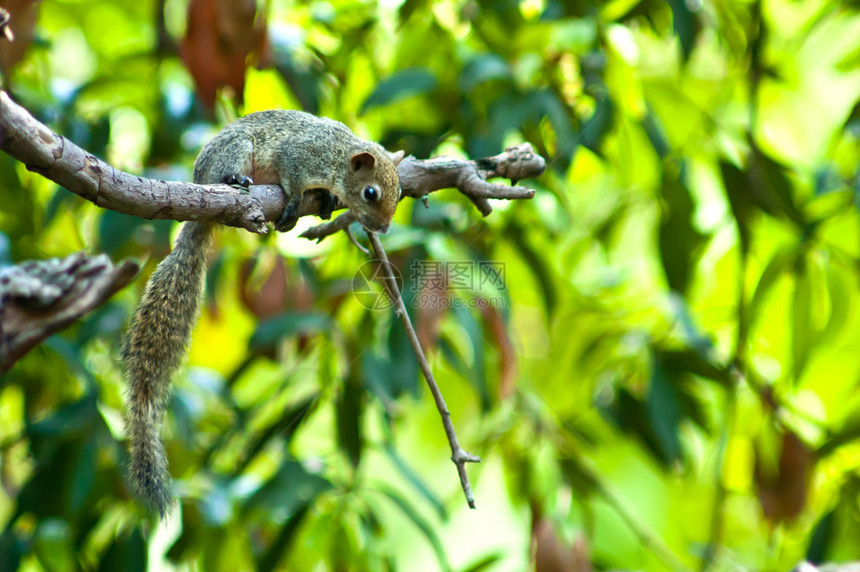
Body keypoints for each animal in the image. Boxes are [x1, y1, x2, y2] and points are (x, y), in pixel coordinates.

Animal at [119, 109, 404, 516]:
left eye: (400, 193)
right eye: (371, 193)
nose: (383, 227)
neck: (337, 157)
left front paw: (327, 199)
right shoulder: (299, 157)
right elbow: (294, 180)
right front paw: (297, 202)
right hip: (236, 150)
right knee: (228, 171)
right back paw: (234, 180)